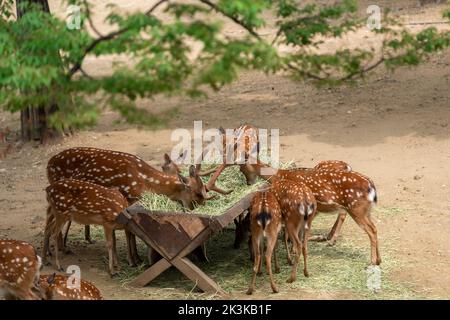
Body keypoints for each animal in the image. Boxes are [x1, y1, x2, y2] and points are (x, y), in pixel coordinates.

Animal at [239, 160, 380, 264]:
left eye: (241, 168)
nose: (248, 183)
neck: (278, 176)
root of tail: (372, 187)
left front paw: (293, 252)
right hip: (364, 210)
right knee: (373, 227)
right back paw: (378, 260)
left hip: (356, 208)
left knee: (370, 229)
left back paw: (372, 261)